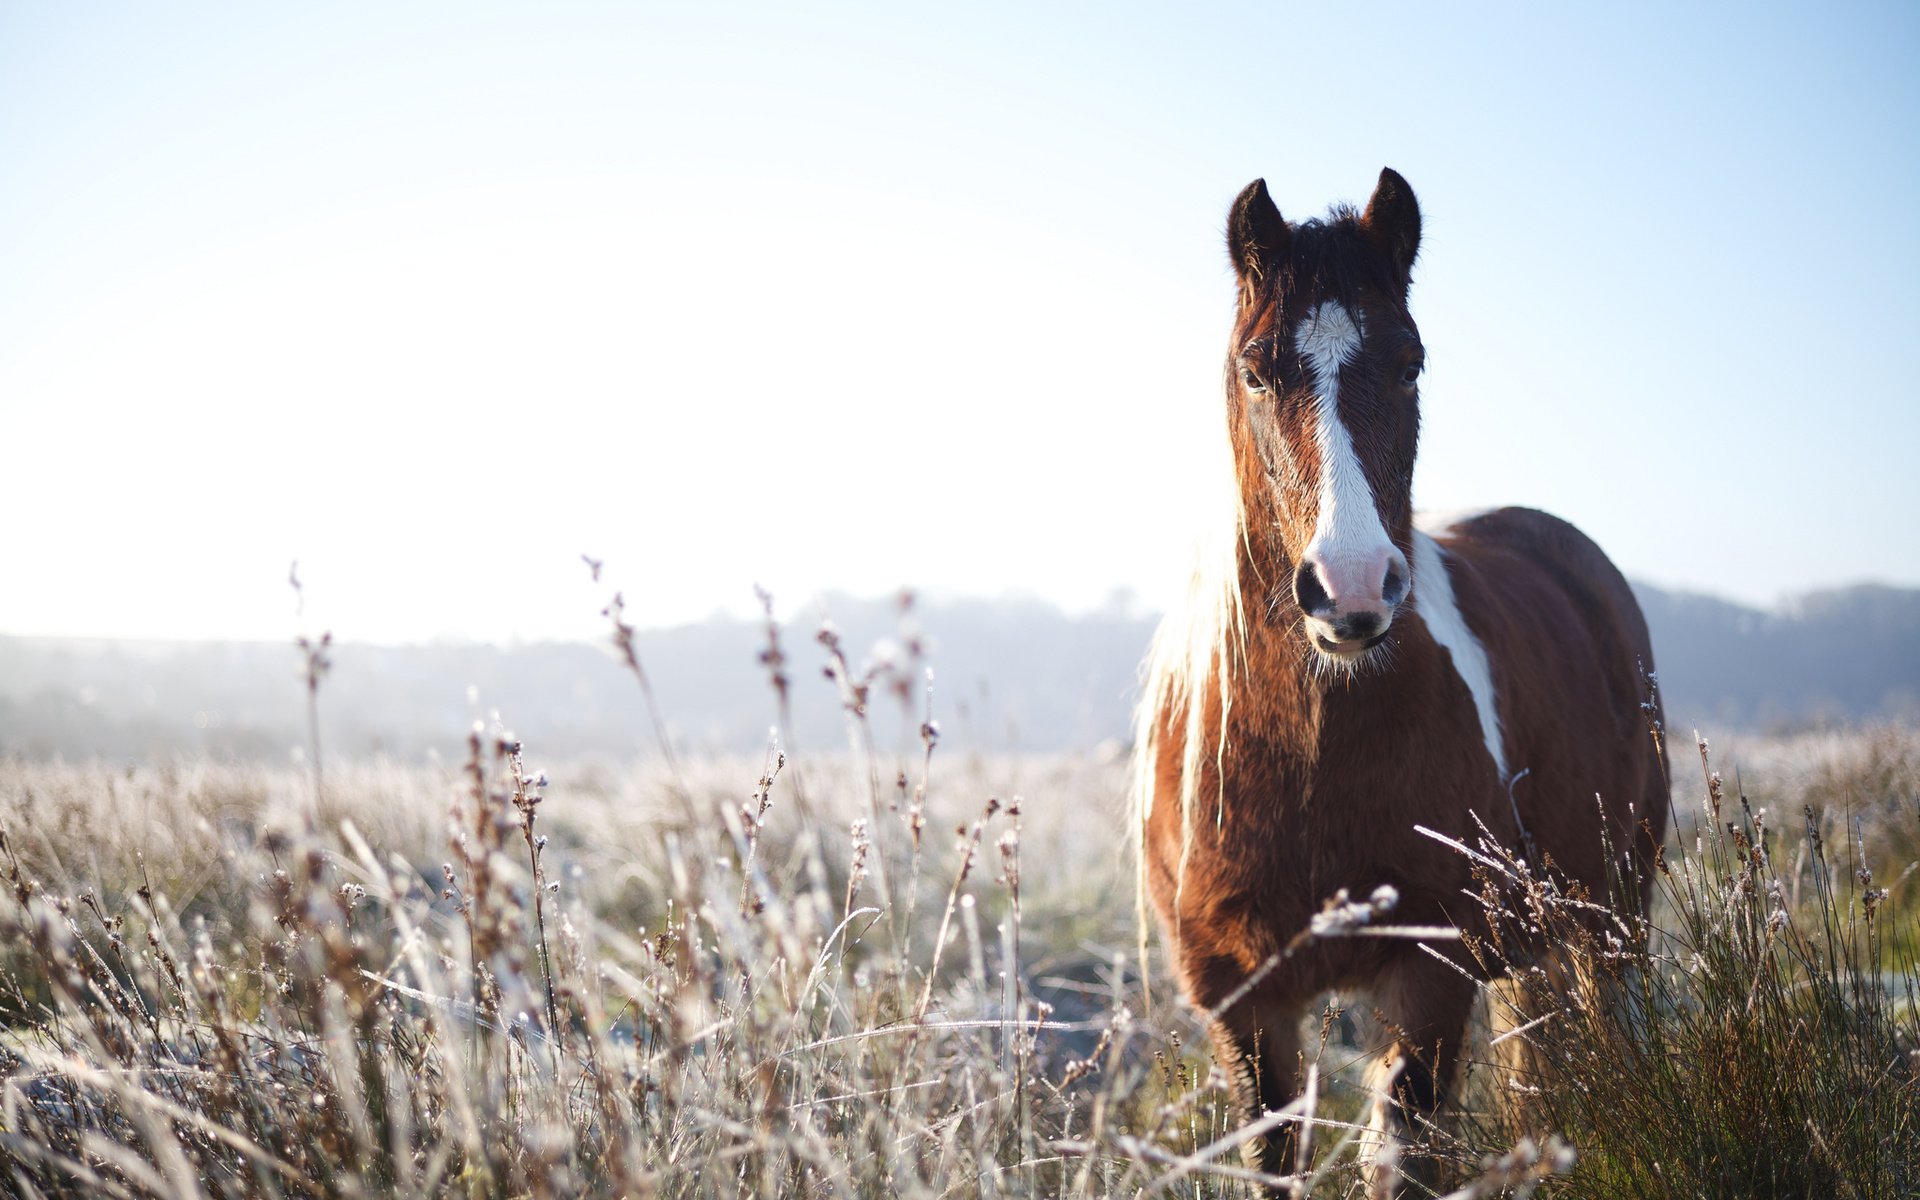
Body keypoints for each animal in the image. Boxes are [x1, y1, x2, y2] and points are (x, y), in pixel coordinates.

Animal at [1128, 166, 1674, 1190]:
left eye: (1411, 363)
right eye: (1256, 369)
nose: (1350, 587)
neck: (1306, 760)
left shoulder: (1429, 971)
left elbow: (1404, 1155)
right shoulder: (1243, 1002)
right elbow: (1275, 1156)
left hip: (1611, 918)